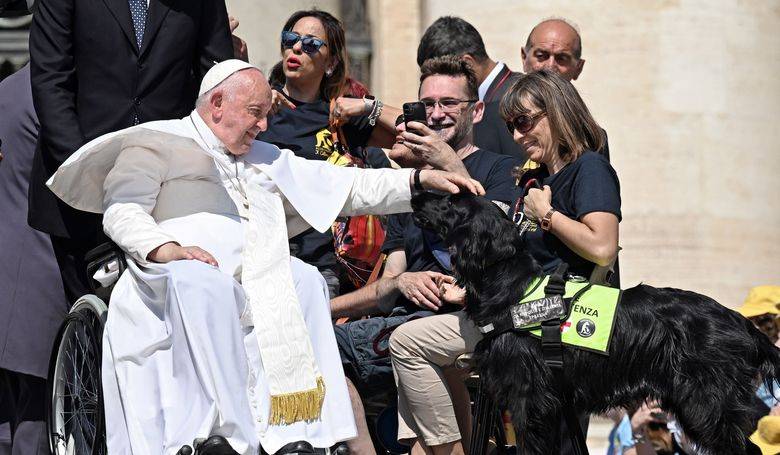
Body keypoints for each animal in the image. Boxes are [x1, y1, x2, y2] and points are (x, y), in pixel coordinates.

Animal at [412, 192, 776, 455]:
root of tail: (743, 324)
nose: (416, 192)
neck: (512, 289)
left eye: (452, 202)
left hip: (707, 403)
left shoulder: (529, 398)